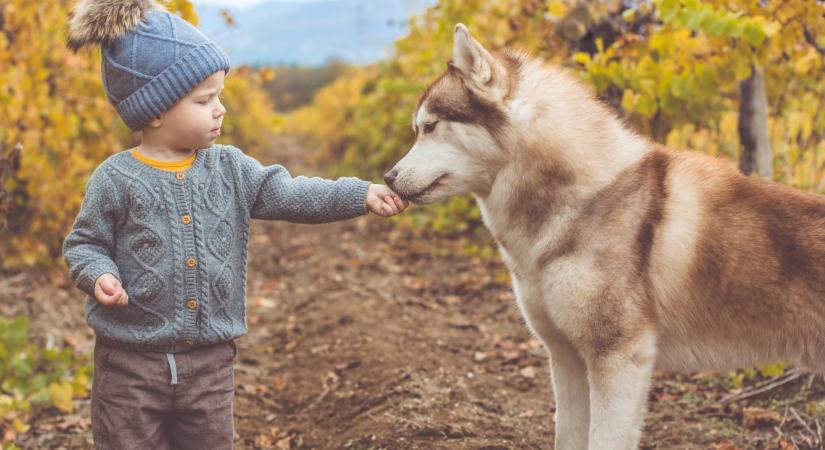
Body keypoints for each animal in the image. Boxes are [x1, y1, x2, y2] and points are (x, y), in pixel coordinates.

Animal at [384, 23, 824, 450]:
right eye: (418, 129)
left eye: (430, 127)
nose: (387, 177)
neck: (583, 198)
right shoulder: (565, 356)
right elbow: (567, 435)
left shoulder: (618, 358)